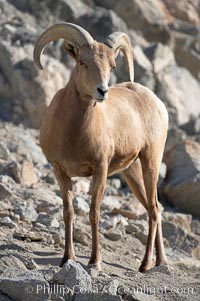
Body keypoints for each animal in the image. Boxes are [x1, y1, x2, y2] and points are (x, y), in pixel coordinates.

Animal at [33, 22, 168, 272]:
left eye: (112, 65)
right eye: (82, 62)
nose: (102, 91)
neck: (73, 134)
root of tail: (156, 101)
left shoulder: (100, 170)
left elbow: (94, 212)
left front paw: (95, 261)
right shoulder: (60, 171)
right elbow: (68, 212)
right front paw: (67, 259)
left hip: (150, 162)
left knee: (154, 210)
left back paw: (145, 265)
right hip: (132, 172)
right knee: (154, 207)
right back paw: (161, 262)